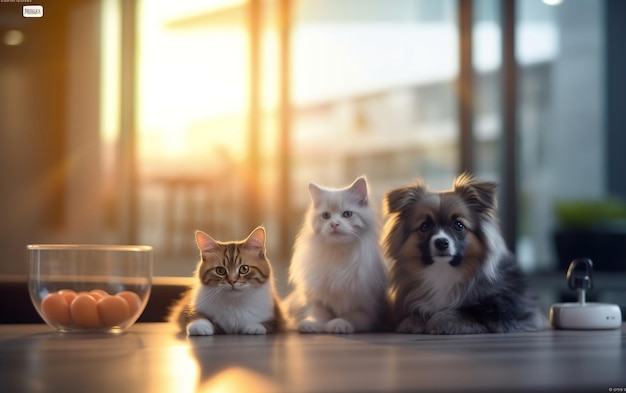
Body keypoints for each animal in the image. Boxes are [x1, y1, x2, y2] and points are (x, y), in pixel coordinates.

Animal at [286, 176, 388, 332]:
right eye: (326, 216)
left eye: (347, 214)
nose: (334, 224)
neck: (339, 253)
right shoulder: (317, 301)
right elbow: (316, 314)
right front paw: (310, 324)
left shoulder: (366, 309)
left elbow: (350, 316)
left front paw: (338, 324)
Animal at [378, 173, 544, 332]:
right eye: (425, 226)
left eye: (459, 225)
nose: (441, 242)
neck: (443, 271)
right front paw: (413, 320)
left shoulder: (508, 308)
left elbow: (469, 312)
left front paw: (441, 320)